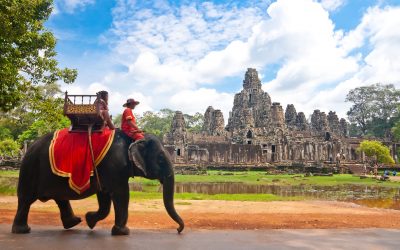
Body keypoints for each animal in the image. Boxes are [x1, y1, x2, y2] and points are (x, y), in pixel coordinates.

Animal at [11, 130, 184, 235]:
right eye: (160, 158)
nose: (178, 229)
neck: (133, 137)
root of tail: (30, 146)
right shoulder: (114, 167)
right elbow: (121, 194)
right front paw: (123, 232)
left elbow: (105, 197)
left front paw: (90, 220)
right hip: (30, 168)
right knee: (26, 199)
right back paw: (22, 230)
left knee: (59, 198)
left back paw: (73, 223)